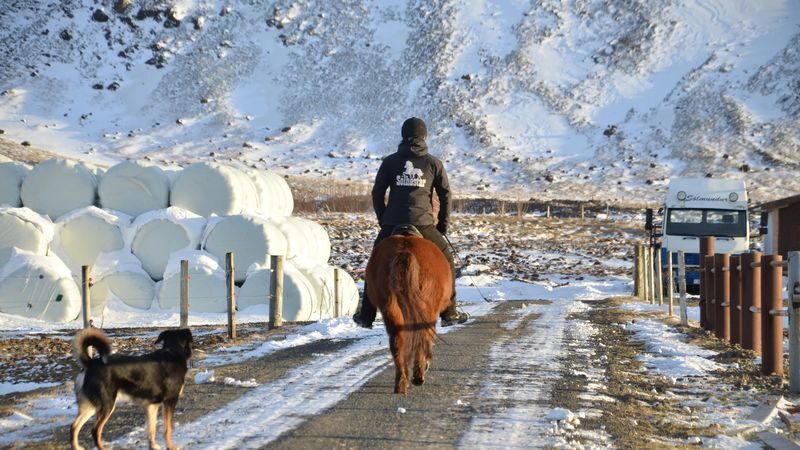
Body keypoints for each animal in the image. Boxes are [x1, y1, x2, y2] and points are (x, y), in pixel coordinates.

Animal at [365, 228, 453, 394]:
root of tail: (404, 252)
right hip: (427, 309)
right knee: (423, 335)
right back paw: (419, 375)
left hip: (390, 308)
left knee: (397, 340)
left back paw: (401, 382)